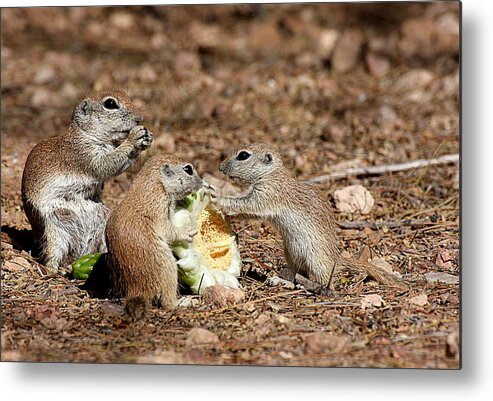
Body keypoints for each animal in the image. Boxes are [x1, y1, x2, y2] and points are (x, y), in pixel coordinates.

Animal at [21, 89, 152, 270]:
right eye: (110, 104)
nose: (140, 118)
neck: (85, 134)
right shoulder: (85, 155)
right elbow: (107, 164)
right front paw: (134, 137)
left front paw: (148, 137)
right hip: (54, 232)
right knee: (51, 254)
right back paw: (53, 270)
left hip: (102, 223)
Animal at [104, 155, 202, 314]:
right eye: (188, 169)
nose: (202, 183)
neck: (157, 182)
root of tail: (136, 291)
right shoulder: (158, 209)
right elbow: (169, 230)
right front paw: (187, 232)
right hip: (168, 267)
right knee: (167, 303)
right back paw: (186, 302)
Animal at [208, 142, 404, 292]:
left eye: (243, 155)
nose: (220, 167)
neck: (271, 175)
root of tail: (336, 259)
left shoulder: (267, 197)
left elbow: (245, 205)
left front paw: (216, 196)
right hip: (291, 254)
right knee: (298, 275)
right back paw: (281, 281)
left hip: (316, 260)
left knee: (324, 280)